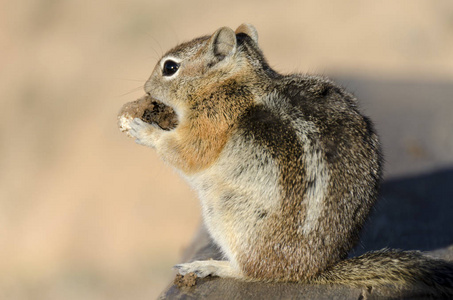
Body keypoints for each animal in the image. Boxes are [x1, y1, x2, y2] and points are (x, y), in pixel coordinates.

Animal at [119, 23, 452, 296]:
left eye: (170, 67)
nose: (146, 88)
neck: (232, 83)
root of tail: (312, 271)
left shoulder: (211, 121)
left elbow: (189, 153)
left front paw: (142, 130)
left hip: (226, 211)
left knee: (251, 272)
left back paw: (210, 265)